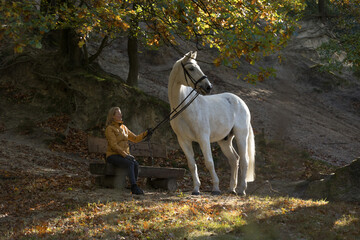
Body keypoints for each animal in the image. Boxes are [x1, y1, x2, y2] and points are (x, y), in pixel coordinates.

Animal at [169, 51, 256, 195]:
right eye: (191, 68)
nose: (208, 87)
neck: (186, 108)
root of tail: (241, 102)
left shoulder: (203, 138)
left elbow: (209, 162)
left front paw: (215, 188)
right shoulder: (183, 140)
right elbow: (192, 165)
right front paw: (196, 189)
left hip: (241, 136)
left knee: (244, 160)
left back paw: (241, 190)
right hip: (225, 140)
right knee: (234, 160)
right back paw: (232, 188)